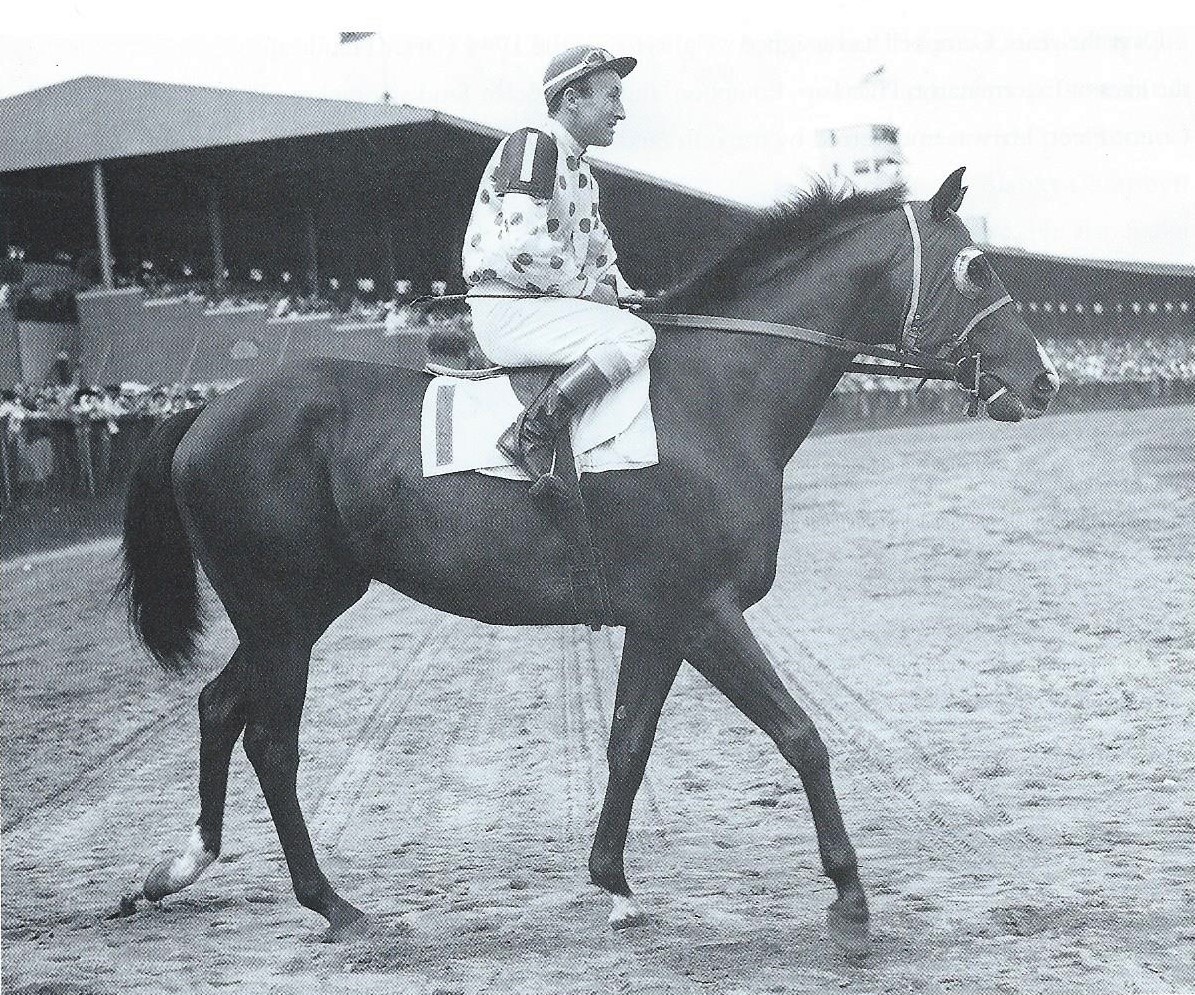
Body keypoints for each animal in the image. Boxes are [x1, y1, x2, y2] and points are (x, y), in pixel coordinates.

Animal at [116, 168, 1061, 946]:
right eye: (977, 268)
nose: (1044, 379)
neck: (714, 396)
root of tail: (204, 412)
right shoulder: (705, 610)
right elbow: (801, 735)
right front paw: (849, 896)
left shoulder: (660, 620)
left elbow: (627, 742)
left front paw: (613, 884)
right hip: (283, 613)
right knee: (272, 742)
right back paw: (332, 903)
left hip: (291, 612)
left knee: (217, 706)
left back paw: (175, 869)